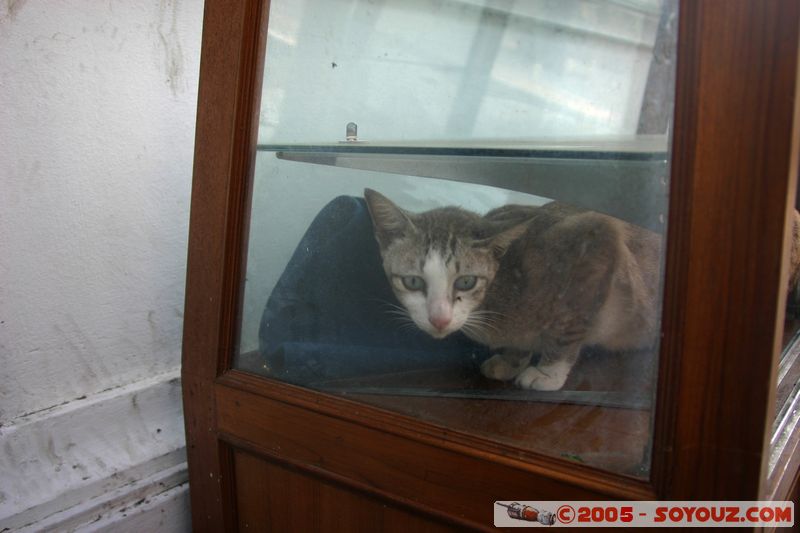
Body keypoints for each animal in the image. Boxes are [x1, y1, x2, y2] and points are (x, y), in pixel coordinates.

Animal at [364, 188, 664, 390]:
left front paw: (548, 372)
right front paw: (512, 358)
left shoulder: (597, 238)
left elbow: (568, 323)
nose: (439, 319)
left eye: (466, 281)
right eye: (413, 282)